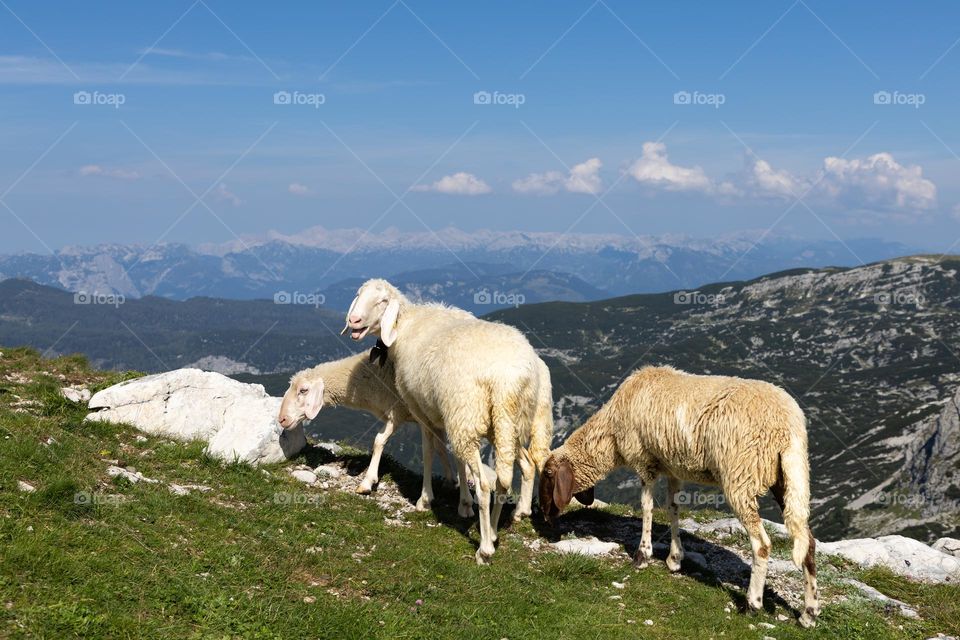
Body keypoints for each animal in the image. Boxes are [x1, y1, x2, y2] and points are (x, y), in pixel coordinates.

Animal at [277, 351, 455, 501]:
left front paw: (367, 482)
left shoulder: (397, 412)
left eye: (303, 390)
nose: (282, 419)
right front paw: (450, 482)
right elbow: (440, 447)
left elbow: (379, 441)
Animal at [343, 278, 544, 564]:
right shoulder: (445, 414)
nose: (354, 320)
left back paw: (484, 549)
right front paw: (463, 502)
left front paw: (425, 499)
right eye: (359, 294)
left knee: (486, 485)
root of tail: (509, 379)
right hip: (505, 423)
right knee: (515, 471)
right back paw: (498, 530)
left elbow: (428, 451)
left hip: (470, 415)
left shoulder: (421, 408)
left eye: (382, 301)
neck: (405, 326)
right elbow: (455, 459)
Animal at [539, 365, 819, 628]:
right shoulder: (673, 467)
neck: (611, 435)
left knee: (761, 544)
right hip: (790, 478)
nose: (545, 516)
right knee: (807, 541)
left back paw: (753, 603)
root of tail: (788, 426)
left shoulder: (644, 462)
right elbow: (673, 509)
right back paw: (809, 613)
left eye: (549, 474)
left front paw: (642, 555)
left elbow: (647, 507)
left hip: (740, 476)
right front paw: (674, 559)